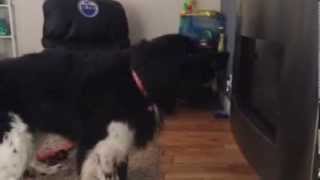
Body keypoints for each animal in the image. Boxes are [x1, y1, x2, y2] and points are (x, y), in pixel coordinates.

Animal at [0, 34, 228, 180]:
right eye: (190, 54)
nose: (225, 55)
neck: (134, 81)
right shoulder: (103, 149)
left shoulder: (120, 145)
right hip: (15, 143)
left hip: (32, 132)